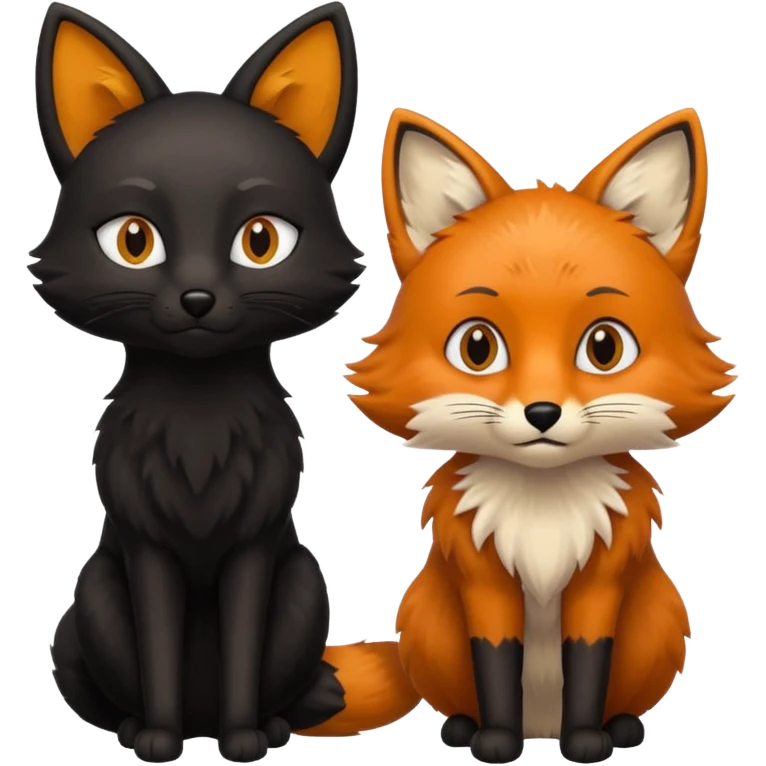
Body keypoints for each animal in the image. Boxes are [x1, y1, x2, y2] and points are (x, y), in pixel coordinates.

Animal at [33, 4, 418, 763]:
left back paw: (271, 720)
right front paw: (157, 737)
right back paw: (146, 726)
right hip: (94, 594)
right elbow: (158, 647)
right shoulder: (144, 549)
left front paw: (244, 739)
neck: (198, 412)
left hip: (304, 584)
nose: (197, 299)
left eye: (260, 240)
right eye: (133, 240)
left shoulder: (256, 547)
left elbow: (243, 644)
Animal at [345, 106, 733, 764]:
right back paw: (464, 728)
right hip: (425, 618)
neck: (543, 510)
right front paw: (497, 741)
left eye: (604, 347)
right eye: (478, 347)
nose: (543, 412)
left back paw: (620, 727)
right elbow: (497, 664)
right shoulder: (484, 579)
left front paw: (585, 742)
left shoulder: (600, 580)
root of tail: (540, 728)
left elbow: (589, 663)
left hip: (659, 616)